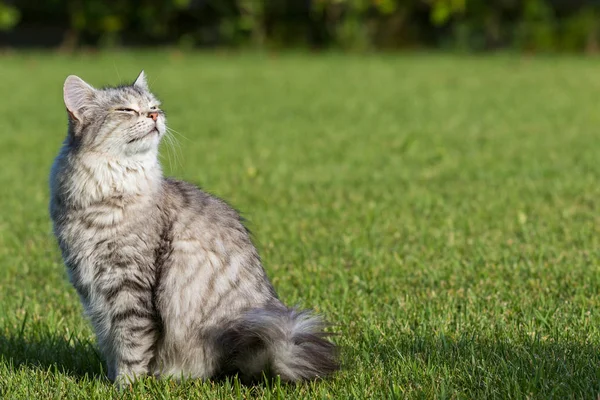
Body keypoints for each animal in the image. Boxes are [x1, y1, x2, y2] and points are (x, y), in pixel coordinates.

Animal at [49, 70, 340, 386]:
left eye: (153, 106)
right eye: (126, 109)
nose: (154, 115)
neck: (107, 192)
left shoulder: (128, 283)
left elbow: (131, 343)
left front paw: (127, 386)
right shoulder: (91, 288)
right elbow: (110, 341)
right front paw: (113, 380)